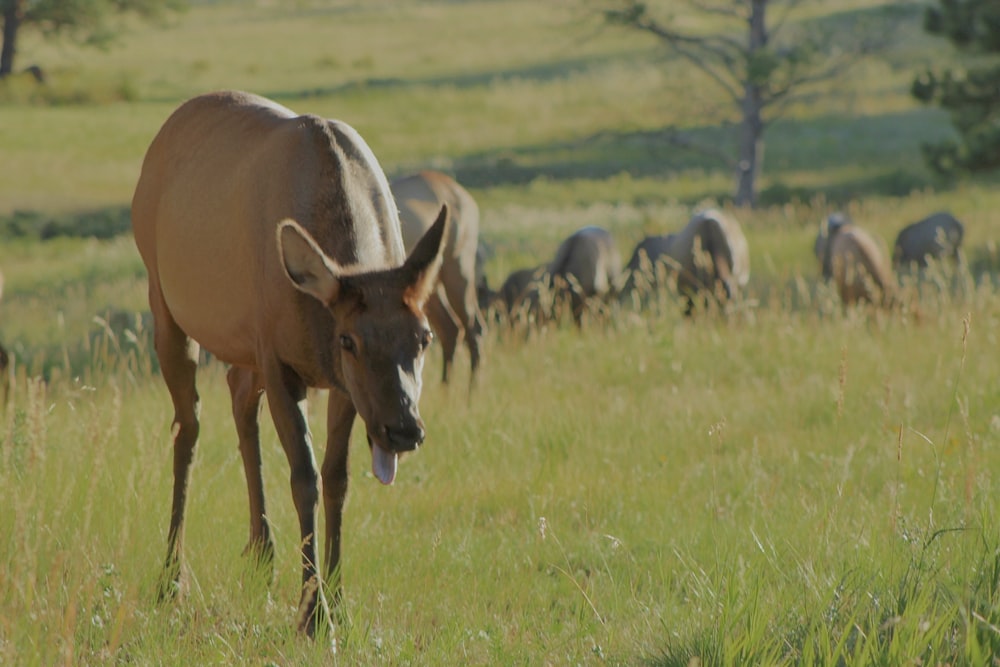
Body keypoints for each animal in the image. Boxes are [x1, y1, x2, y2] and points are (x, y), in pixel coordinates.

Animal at [131, 88, 448, 636]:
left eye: (424, 337)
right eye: (349, 341)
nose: (403, 430)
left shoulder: (340, 385)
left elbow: (338, 477)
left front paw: (338, 600)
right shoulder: (281, 362)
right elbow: (305, 476)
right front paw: (313, 613)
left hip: (246, 346)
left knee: (238, 397)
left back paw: (261, 553)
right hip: (164, 301)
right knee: (187, 426)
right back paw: (171, 577)